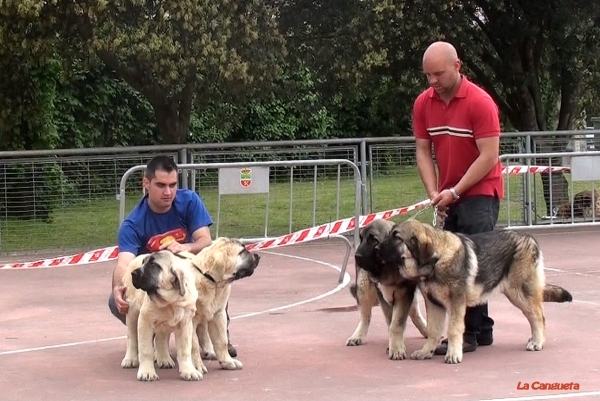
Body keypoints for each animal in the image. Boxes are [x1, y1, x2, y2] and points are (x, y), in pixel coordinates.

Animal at [120, 250, 203, 382]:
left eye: (153, 265)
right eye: (143, 262)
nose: (134, 273)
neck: (170, 301)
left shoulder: (185, 324)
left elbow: (185, 350)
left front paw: (189, 371)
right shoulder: (145, 321)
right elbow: (146, 349)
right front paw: (147, 372)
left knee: (161, 338)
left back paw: (164, 358)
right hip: (132, 312)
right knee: (132, 337)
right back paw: (130, 359)